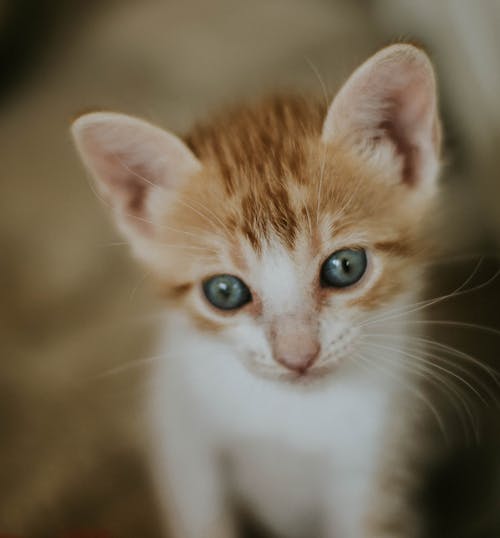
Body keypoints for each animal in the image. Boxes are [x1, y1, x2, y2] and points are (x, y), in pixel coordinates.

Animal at [71, 44, 442, 532]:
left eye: (345, 266)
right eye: (225, 292)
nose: (297, 356)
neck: (291, 415)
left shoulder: (376, 462)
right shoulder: (182, 438)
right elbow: (202, 515)